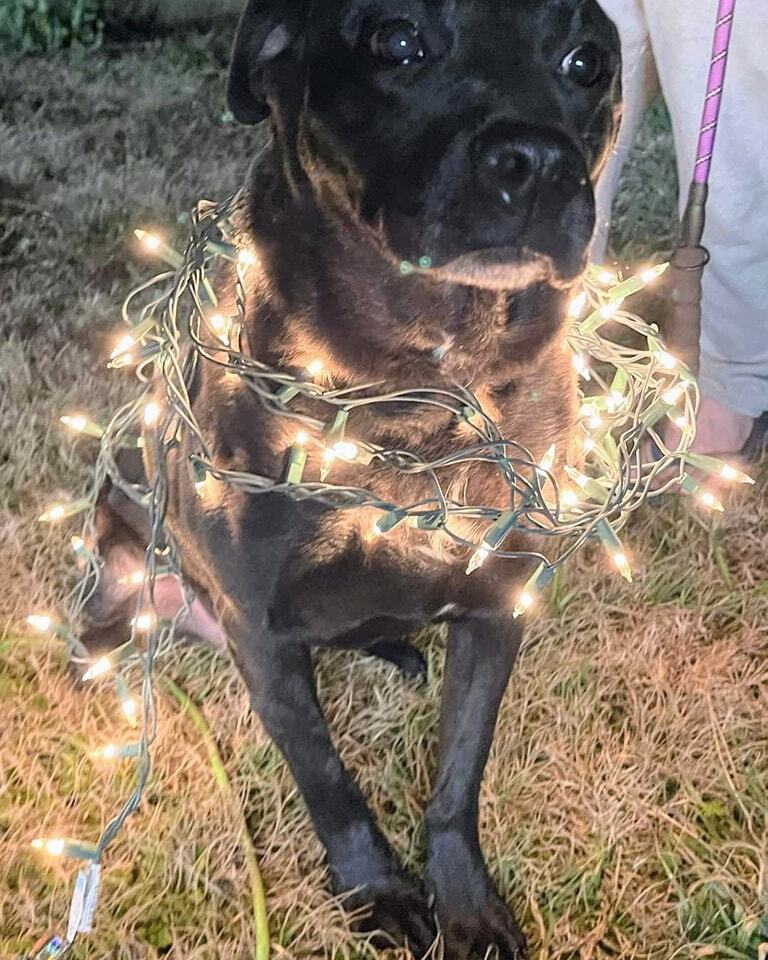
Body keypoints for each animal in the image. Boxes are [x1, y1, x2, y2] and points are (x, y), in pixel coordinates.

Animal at [87, 3, 620, 956]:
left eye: (586, 61)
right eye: (396, 41)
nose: (539, 160)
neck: (420, 387)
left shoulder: (499, 609)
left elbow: (458, 777)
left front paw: (464, 903)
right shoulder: (262, 633)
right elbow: (329, 781)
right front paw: (375, 890)